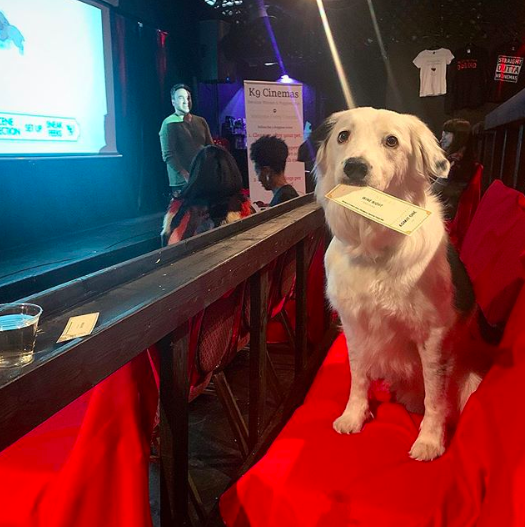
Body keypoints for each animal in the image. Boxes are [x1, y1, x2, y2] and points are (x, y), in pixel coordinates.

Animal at [312, 108, 478, 462]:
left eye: (391, 141)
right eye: (343, 136)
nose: (355, 166)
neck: (373, 245)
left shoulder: (434, 335)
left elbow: (435, 395)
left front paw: (430, 440)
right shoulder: (354, 325)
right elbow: (358, 375)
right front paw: (354, 415)